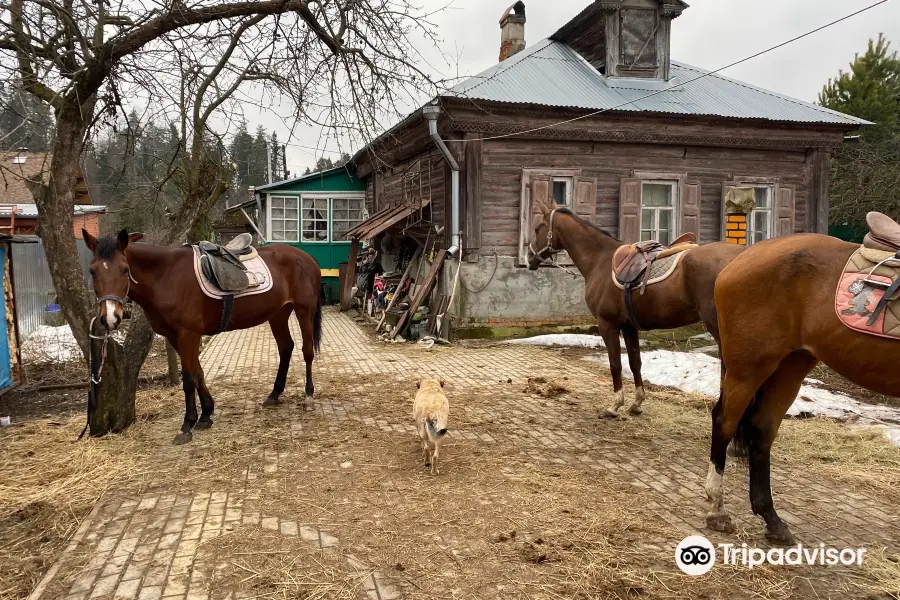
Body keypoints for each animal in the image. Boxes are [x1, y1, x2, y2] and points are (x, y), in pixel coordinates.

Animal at [83, 230, 324, 446]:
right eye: (92, 271)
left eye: (125, 270)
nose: (110, 317)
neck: (166, 276)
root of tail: (307, 258)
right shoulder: (175, 337)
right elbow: (198, 373)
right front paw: (206, 414)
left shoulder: (187, 334)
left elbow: (189, 379)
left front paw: (187, 425)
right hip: (278, 314)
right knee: (286, 347)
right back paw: (275, 394)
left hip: (304, 311)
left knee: (307, 351)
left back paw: (308, 396)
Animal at [532, 206, 740, 418]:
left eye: (537, 229)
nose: (529, 258)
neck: (600, 260)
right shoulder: (629, 326)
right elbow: (635, 362)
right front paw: (637, 403)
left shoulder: (607, 325)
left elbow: (615, 364)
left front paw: (615, 406)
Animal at [708, 214, 900, 544]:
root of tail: (742, 258)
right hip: (748, 368)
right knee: (725, 422)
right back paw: (718, 509)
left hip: (790, 365)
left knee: (762, 428)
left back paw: (772, 519)